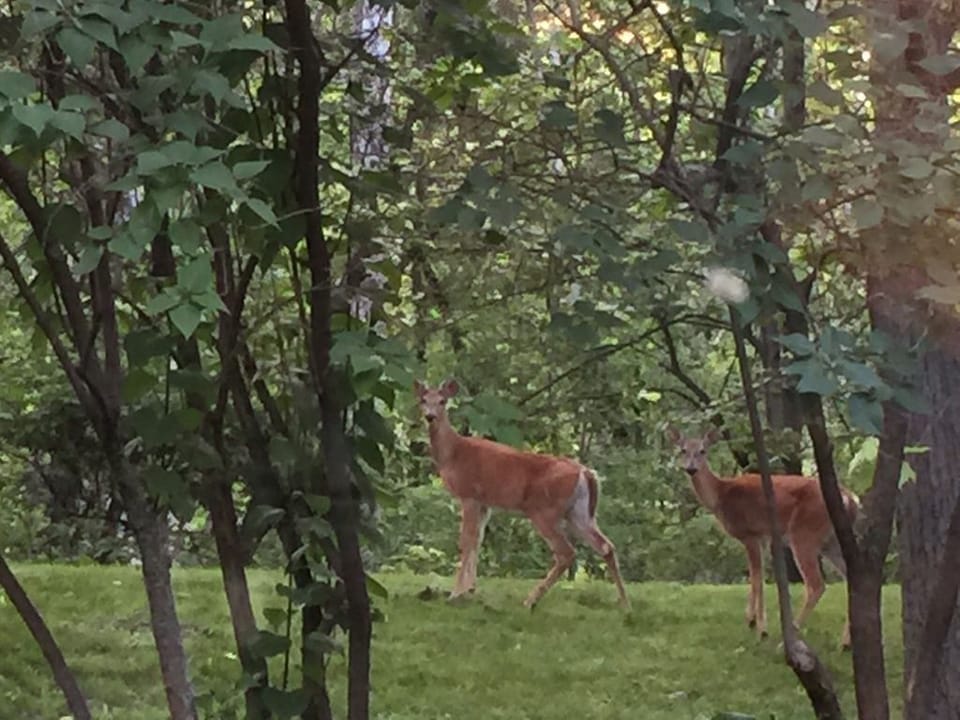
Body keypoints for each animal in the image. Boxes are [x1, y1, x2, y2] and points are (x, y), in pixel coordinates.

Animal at [414, 379, 630, 610]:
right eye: (423, 400)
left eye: (442, 401)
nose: (430, 416)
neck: (453, 452)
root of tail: (586, 473)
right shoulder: (484, 503)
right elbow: (478, 540)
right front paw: (470, 590)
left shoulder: (469, 494)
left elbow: (466, 541)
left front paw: (456, 594)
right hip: (579, 513)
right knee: (606, 546)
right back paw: (624, 603)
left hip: (544, 510)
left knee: (567, 553)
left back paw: (530, 600)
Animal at [666, 426, 859, 648]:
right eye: (682, 450)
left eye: (702, 451)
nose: (691, 469)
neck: (721, 495)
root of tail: (850, 499)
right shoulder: (764, 538)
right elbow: (760, 578)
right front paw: (752, 620)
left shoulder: (750, 534)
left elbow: (756, 578)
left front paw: (760, 629)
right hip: (831, 542)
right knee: (851, 577)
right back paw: (845, 643)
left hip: (804, 533)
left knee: (816, 585)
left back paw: (789, 638)